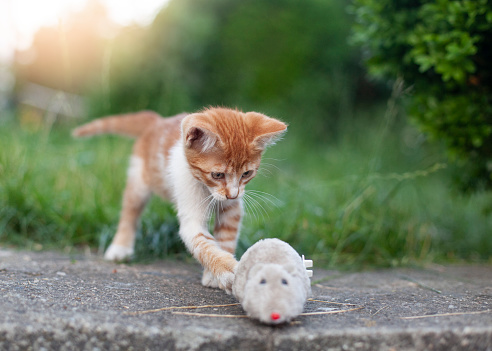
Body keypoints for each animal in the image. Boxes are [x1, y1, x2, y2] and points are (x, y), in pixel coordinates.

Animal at [74, 108, 288, 294]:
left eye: (246, 174)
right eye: (217, 174)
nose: (233, 194)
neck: (207, 189)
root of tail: (157, 121)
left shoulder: (232, 208)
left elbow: (226, 236)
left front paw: (215, 275)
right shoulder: (191, 209)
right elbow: (203, 244)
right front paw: (228, 271)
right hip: (139, 180)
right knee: (130, 211)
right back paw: (120, 247)